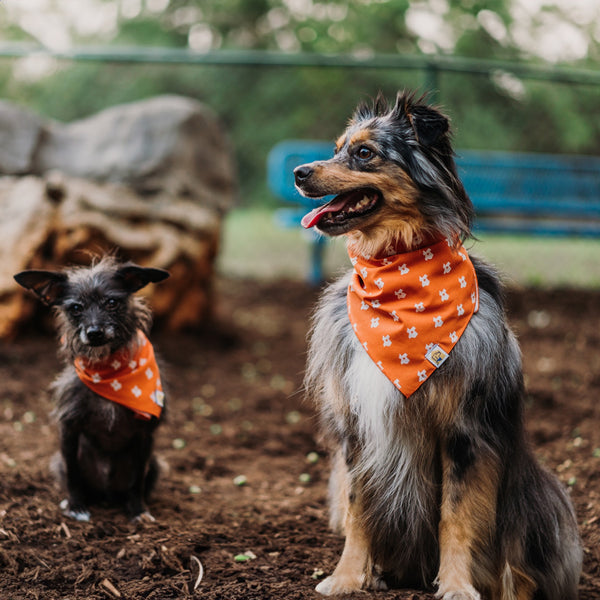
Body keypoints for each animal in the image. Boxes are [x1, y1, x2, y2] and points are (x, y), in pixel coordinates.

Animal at [14, 256, 169, 520]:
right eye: (76, 308)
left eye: (112, 303)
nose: (94, 332)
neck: (109, 373)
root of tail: (106, 494)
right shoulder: (69, 431)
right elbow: (73, 474)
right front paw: (76, 506)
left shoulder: (145, 435)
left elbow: (137, 480)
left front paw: (138, 510)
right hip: (59, 462)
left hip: (156, 465)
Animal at [294, 91, 580, 596]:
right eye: (336, 148)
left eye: (364, 153)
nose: (299, 173)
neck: (401, 273)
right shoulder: (356, 431)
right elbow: (358, 508)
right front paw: (347, 577)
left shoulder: (463, 433)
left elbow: (457, 516)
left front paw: (456, 585)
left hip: (538, 499)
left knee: (519, 560)